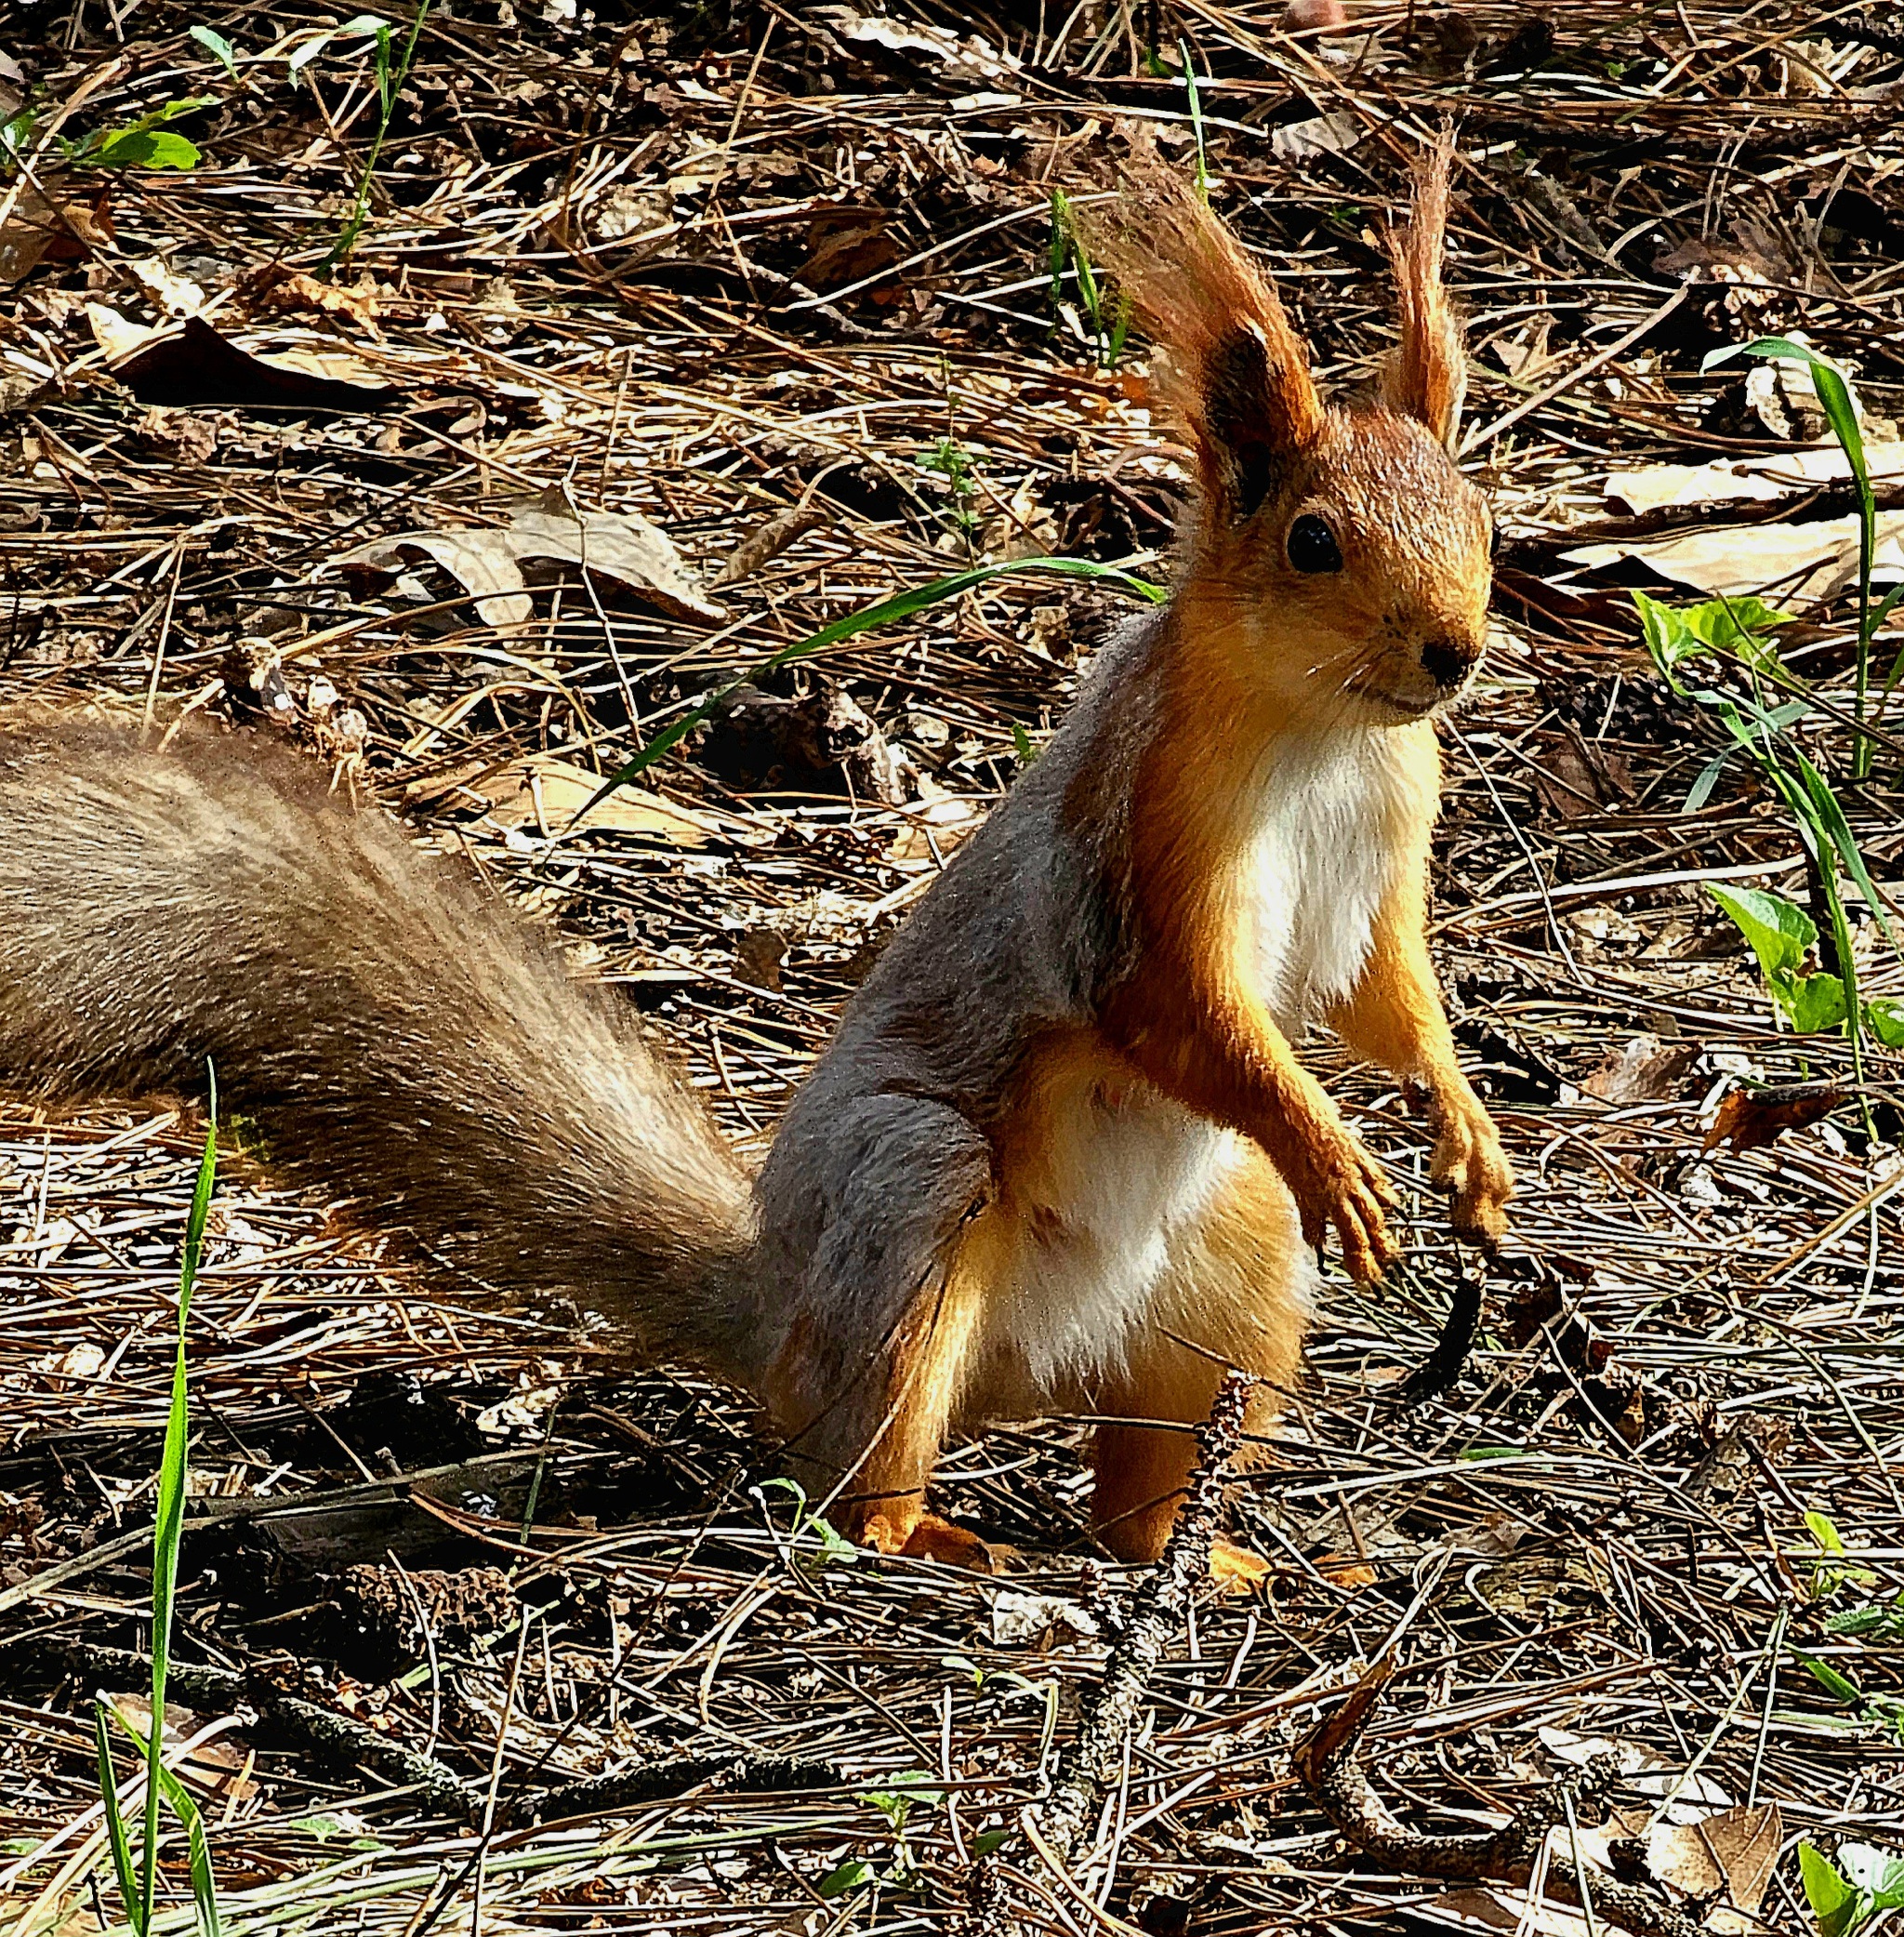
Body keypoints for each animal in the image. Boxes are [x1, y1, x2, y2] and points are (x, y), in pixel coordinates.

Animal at [0, 147, 1518, 1572]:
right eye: (1312, 541)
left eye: (1479, 516)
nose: (1454, 649)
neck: (1323, 733)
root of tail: (780, 1303)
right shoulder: (1138, 849)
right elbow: (1181, 1007)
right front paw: (1333, 1147)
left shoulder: (1388, 849)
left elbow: (1387, 997)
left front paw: (1465, 1135)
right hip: (911, 1195)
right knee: (853, 1464)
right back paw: (931, 1535)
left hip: (1235, 1275)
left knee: (1137, 1478)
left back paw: (1209, 1556)